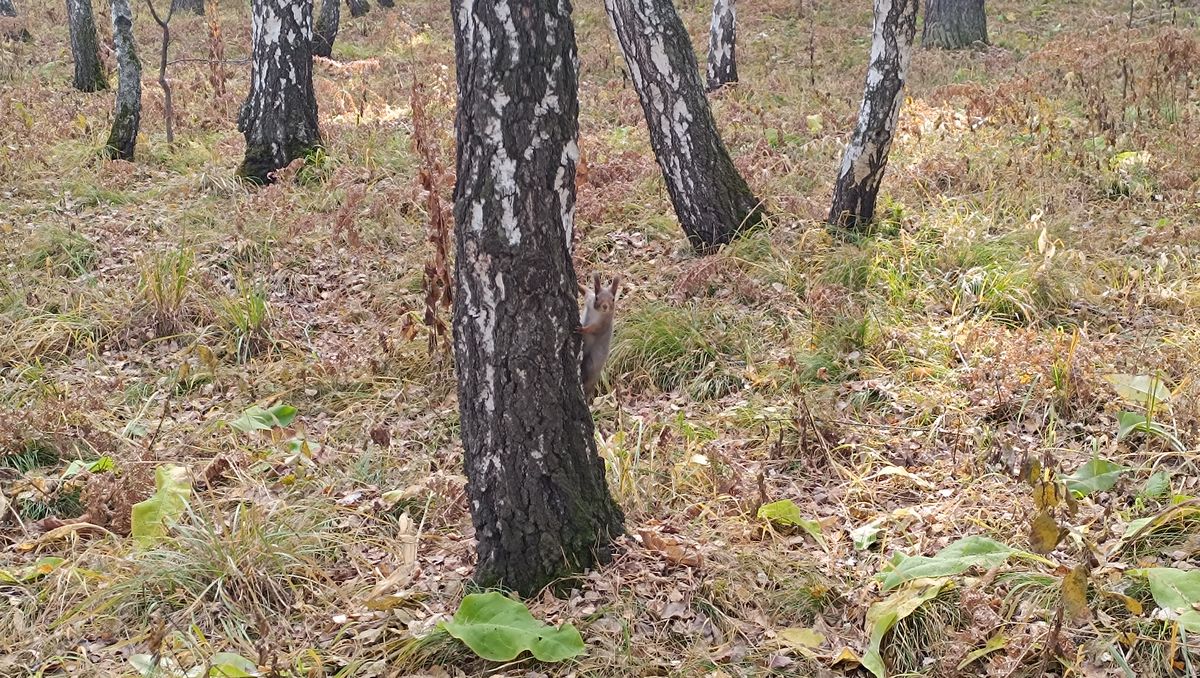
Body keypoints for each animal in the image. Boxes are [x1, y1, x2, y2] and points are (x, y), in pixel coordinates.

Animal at [578, 272, 624, 400]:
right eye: (597, 297)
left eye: (613, 299)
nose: (605, 306)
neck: (597, 312)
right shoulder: (589, 298)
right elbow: (585, 291)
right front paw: (577, 285)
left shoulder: (603, 324)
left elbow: (594, 329)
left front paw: (582, 329)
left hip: (591, 363)